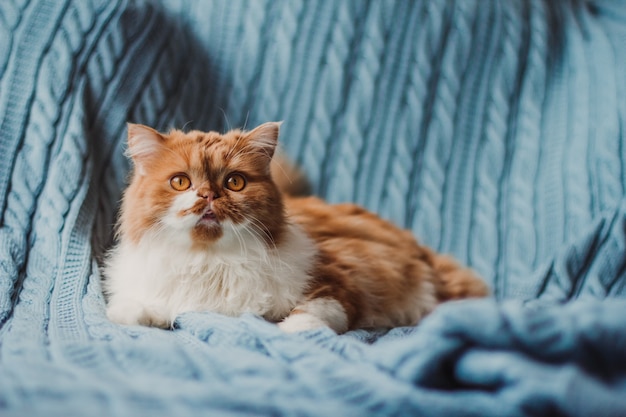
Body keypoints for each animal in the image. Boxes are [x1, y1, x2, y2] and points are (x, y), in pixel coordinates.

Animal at [102, 120, 486, 332]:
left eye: (235, 183)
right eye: (180, 182)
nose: (209, 195)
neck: (210, 261)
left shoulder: (342, 276)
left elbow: (314, 314)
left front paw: (289, 330)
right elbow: (133, 311)